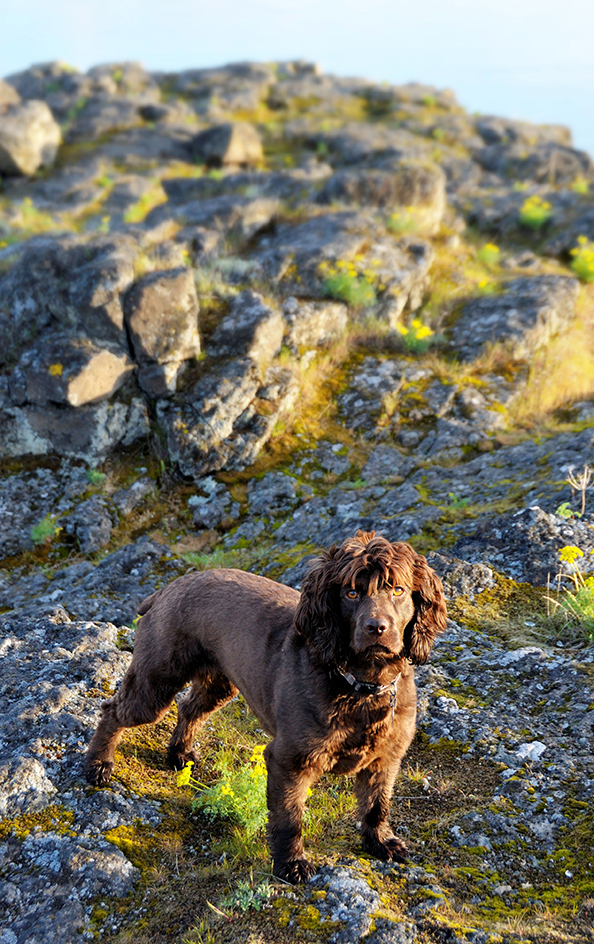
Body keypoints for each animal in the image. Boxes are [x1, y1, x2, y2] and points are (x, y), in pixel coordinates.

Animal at [84, 536, 444, 880]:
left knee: (188, 708)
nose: (376, 628)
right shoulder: (289, 760)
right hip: (156, 683)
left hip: (219, 684)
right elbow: (289, 817)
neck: (362, 685)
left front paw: (380, 843)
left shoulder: (385, 759)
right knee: (112, 711)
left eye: (398, 590)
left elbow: (376, 806)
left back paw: (179, 754)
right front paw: (291, 864)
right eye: (352, 592)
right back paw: (99, 766)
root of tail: (166, 589)